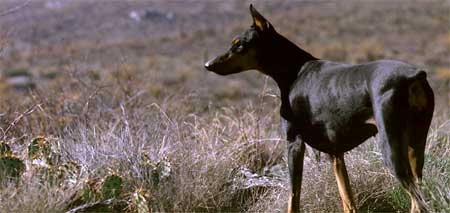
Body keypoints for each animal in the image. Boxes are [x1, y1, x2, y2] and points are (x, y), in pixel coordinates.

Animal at [204, 5, 432, 213]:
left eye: (240, 44)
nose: (208, 65)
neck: (293, 71)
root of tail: (413, 76)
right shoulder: (336, 154)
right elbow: (348, 201)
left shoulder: (294, 143)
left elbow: (293, 197)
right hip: (416, 148)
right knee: (417, 196)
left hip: (391, 150)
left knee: (418, 201)